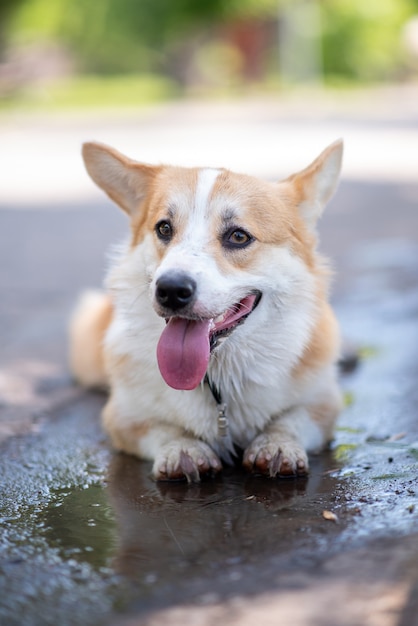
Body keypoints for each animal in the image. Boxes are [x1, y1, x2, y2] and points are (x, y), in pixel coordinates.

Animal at [69, 140, 342, 482]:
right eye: (164, 228)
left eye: (238, 236)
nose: (171, 290)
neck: (218, 379)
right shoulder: (124, 417)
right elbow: (163, 429)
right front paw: (183, 450)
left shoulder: (323, 406)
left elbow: (291, 419)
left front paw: (276, 446)